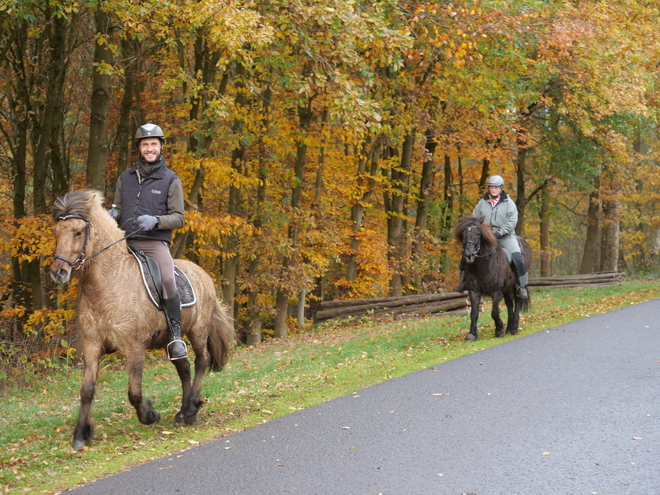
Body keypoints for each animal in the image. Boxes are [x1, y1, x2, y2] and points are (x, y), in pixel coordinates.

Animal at [49, 189, 235, 450]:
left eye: (77, 231)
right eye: (57, 232)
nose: (59, 272)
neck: (108, 283)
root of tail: (203, 274)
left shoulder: (135, 346)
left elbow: (134, 392)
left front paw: (150, 414)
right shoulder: (92, 345)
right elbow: (87, 389)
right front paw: (80, 435)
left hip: (198, 331)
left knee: (201, 362)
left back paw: (191, 408)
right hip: (170, 340)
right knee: (184, 368)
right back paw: (182, 412)